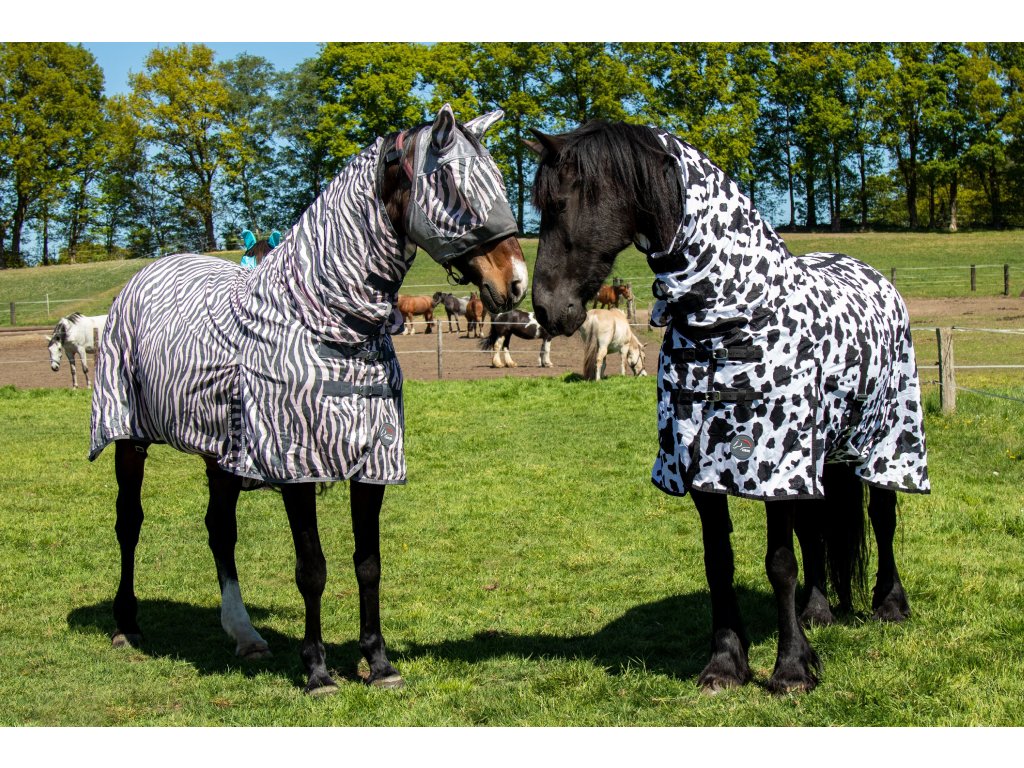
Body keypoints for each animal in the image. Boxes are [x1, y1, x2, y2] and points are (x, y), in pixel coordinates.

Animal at [90, 105, 527, 695]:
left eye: (500, 179)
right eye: (451, 182)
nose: (516, 283)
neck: (325, 320)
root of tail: (150, 273)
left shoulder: (374, 462)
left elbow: (368, 563)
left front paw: (378, 662)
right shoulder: (296, 462)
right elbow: (312, 568)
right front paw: (317, 670)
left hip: (220, 453)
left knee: (220, 531)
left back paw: (245, 634)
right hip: (127, 435)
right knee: (128, 521)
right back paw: (126, 624)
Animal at [527, 120, 927, 694]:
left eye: (559, 204)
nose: (544, 309)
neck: (730, 320)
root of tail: (873, 275)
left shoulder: (774, 467)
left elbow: (779, 562)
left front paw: (791, 669)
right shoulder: (698, 466)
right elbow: (720, 560)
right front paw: (724, 664)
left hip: (887, 439)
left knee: (883, 515)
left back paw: (890, 605)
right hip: (821, 455)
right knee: (816, 528)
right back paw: (818, 611)